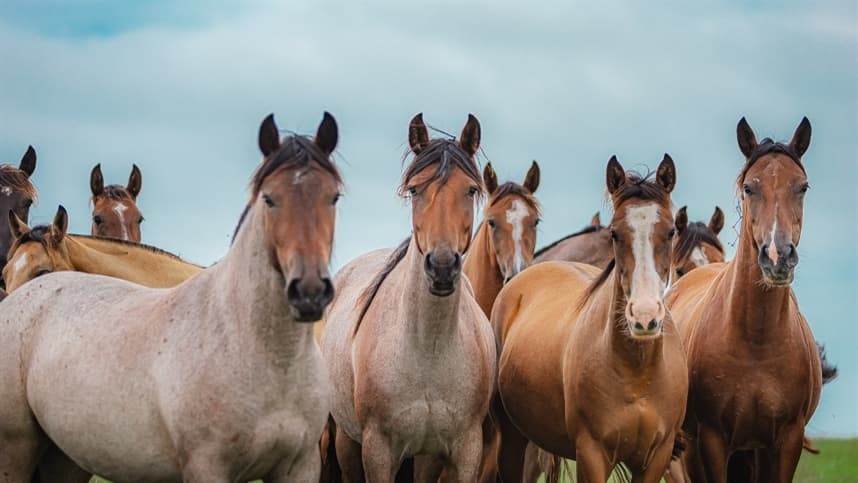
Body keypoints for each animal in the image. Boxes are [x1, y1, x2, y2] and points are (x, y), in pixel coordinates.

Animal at [321, 113, 496, 482]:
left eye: (471, 189)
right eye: (415, 189)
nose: (441, 267)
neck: (428, 349)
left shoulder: (465, 451)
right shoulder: (378, 451)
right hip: (346, 441)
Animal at [492, 154, 687, 483]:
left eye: (671, 232)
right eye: (614, 233)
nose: (644, 317)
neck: (638, 373)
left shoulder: (656, 457)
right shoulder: (591, 453)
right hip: (512, 439)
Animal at [665, 117, 822, 483]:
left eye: (802, 186)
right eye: (750, 187)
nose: (778, 256)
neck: (757, 341)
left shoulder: (785, 443)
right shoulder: (711, 441)